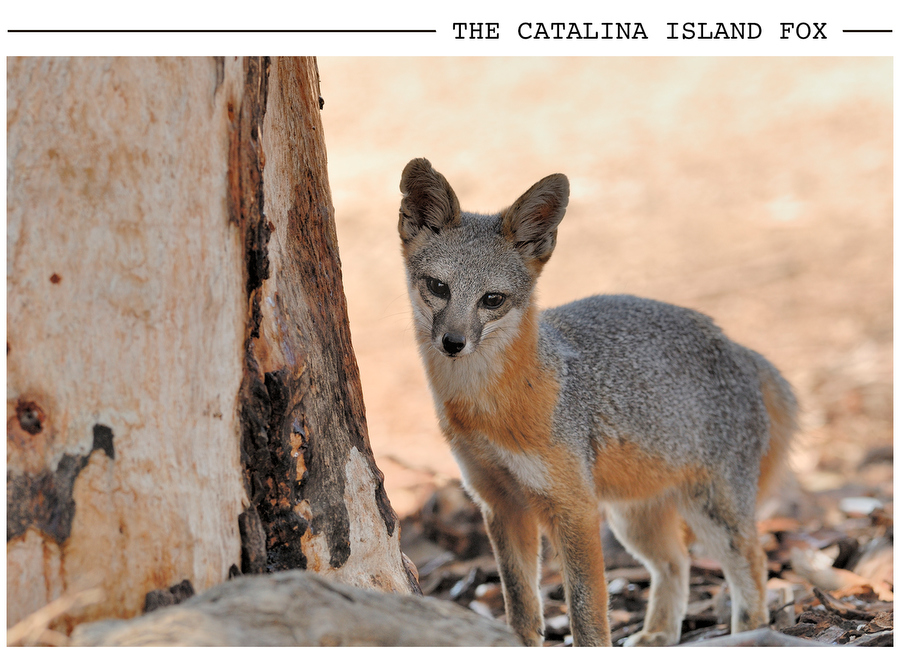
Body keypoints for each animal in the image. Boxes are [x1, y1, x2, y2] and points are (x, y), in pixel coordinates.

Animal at [397, 158, 798, 647]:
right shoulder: (500, 502)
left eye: (492, 299)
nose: (453, 343)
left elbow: (587, 607)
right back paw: (658, 634)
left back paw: (748, 633)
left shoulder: (573, 506)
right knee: (676, 563)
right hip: (635, 519)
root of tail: (739, 347)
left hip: (712, 511)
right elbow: (521, 604)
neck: (486, 410)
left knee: (753, 565)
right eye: (438, 287)